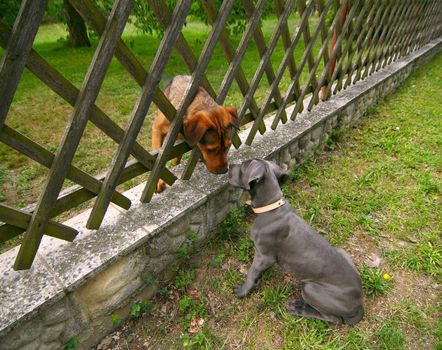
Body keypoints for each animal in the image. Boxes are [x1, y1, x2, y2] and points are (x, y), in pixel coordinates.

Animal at [226, 160, 364, 324]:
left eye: (244, 165)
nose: (228, 166)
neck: (270, 207)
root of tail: (359, 304)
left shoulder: (264, 256)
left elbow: (251, 272)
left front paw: (243, 290)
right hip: (339, 251)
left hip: (310, 288)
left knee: (333, 318)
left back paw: (299, 308)